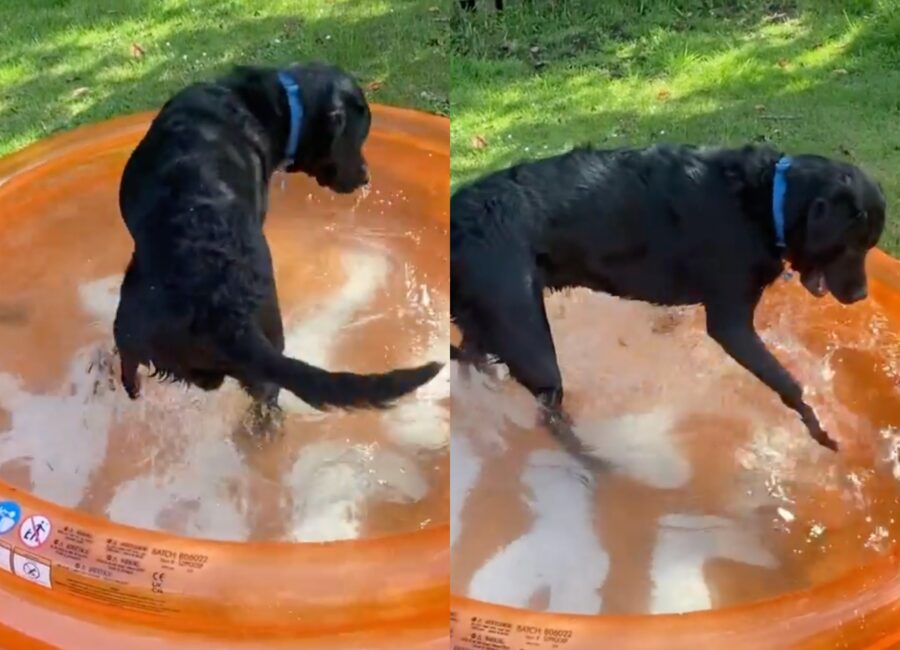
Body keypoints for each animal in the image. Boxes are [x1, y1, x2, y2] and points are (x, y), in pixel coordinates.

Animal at [450, 143, 884, 456]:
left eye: (868, 246)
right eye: (851, 245)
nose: (861, 294)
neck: (766, 202)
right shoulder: (730, 324)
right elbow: (790, 385)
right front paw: (821, 430)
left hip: (490, 323)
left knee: (471, 355)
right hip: (529, 339)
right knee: (548, 412)